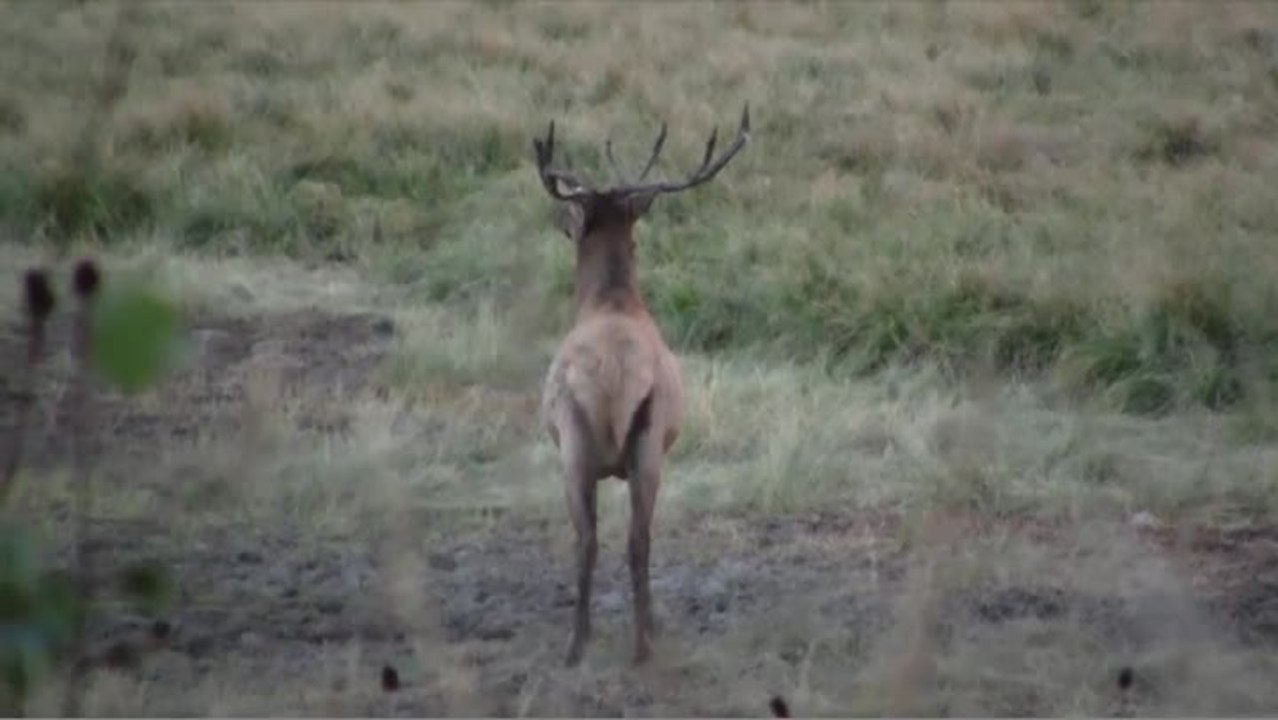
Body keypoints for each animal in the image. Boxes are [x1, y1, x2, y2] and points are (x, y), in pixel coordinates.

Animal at [531, 104, 751, 667]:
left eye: (575, 212)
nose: (558, 221)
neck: (610, 300)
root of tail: (612, 377)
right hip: (643, 446)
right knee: (631, 538)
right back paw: (628, 641)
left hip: (582, 441)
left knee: (597, 539)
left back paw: (595, 643)